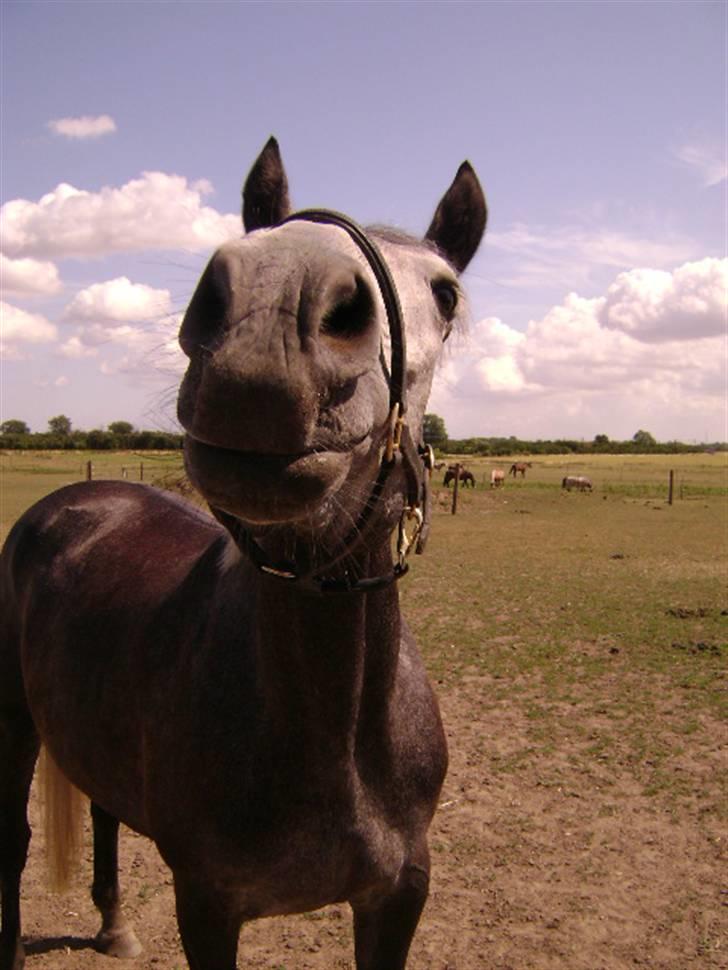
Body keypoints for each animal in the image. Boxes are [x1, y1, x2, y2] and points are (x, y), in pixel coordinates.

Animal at [1, 134, 490, 968]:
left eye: (447, 294)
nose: (275, 307)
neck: (333, 732)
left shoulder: (398, 896)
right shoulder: (207, 903)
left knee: (101, 811)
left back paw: (113, 924)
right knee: (12, 838)